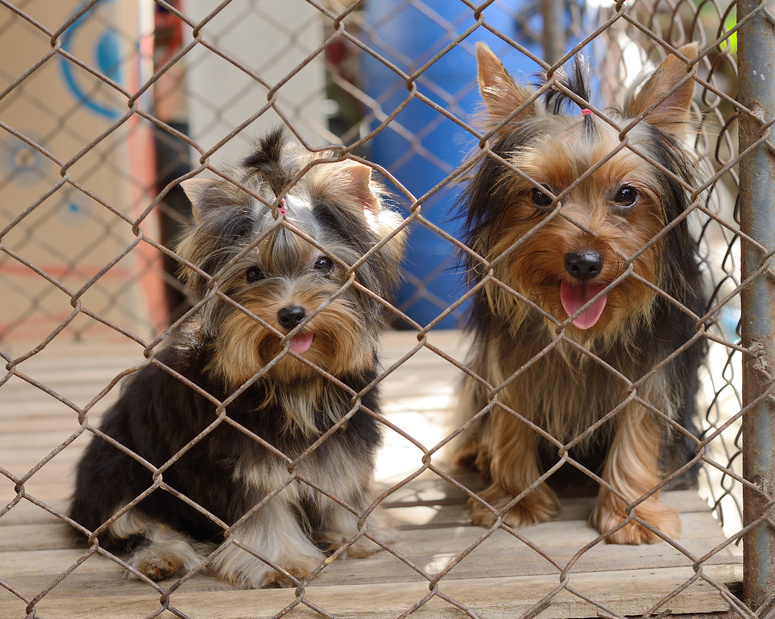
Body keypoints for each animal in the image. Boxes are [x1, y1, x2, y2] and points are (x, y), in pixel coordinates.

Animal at [70, 130, 410, 588]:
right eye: (253, 274)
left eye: (325, 263)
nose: (291, 313)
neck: (292, 378)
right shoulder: (235, 457)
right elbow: (261, 508)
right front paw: (282, 562)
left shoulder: (343, 434)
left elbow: (340, 482)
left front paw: (354, 533)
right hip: (117, 466)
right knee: (129, 520)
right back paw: (161, 557)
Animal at [454, 44, 708, 548]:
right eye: (540, 195)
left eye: (627, 194)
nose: (585, 262)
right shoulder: (511, 355)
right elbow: (511, 415)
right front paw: (515, 497)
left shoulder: (654, 366)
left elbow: (639, 426)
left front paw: (631, 512)